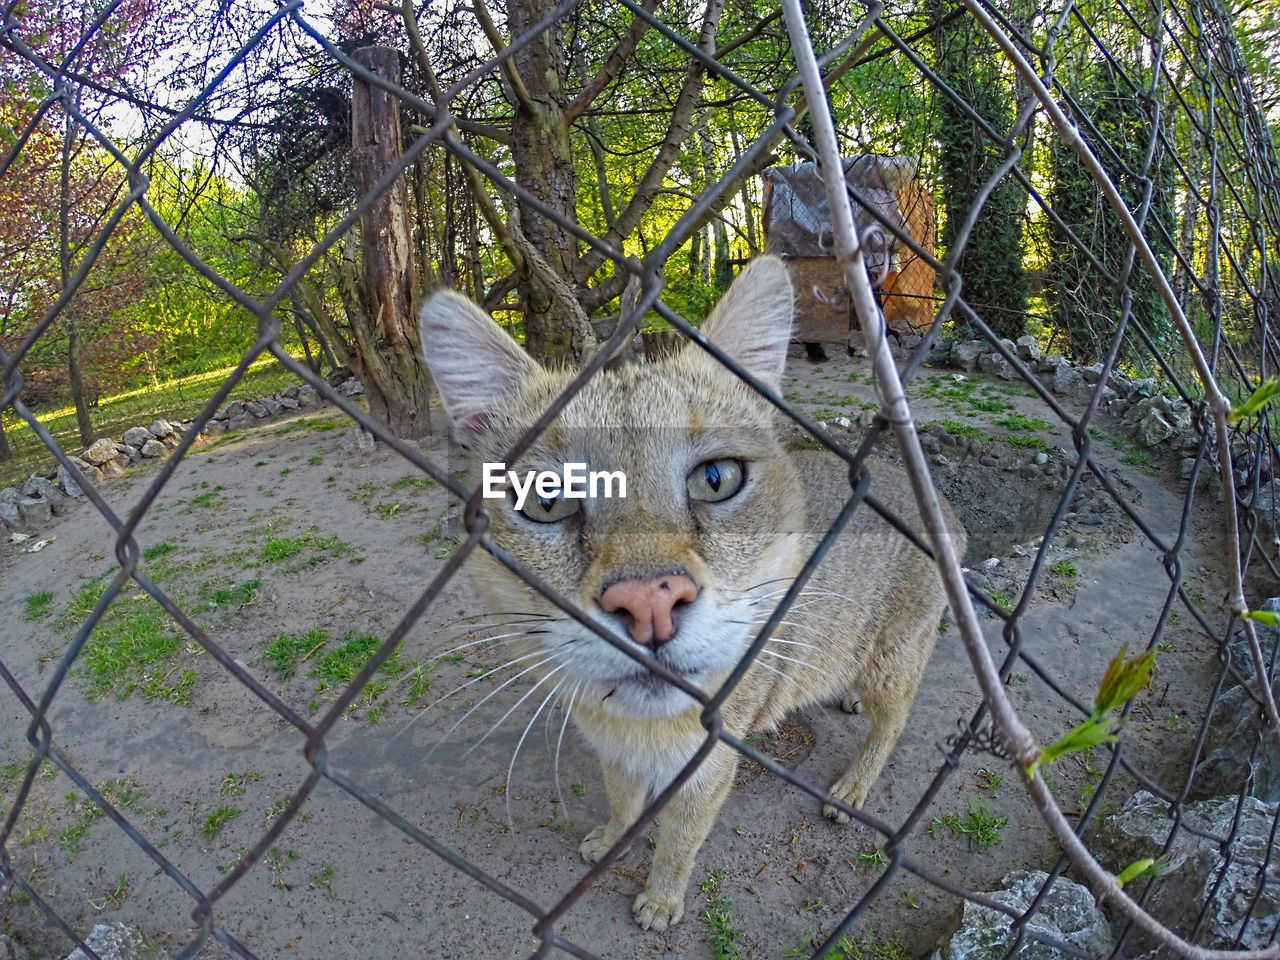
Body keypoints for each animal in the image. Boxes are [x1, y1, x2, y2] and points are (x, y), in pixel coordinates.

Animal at [414, 256, 962, 931]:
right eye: (547, 500)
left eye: (716, 479)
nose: (649, 602)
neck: (634, 728)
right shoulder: (614, 752)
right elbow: (623, 801)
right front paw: (611, 839)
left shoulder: (708, 766)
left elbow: (680, 837)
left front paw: (661, 897)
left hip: (896, 657)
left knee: (895, 721)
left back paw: (853, 785)